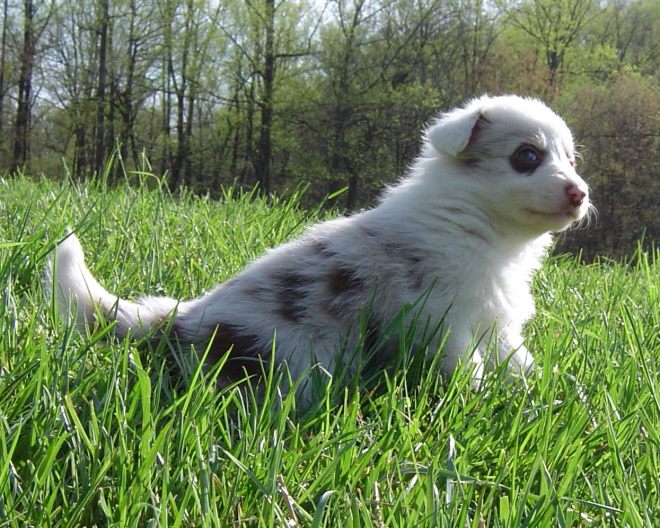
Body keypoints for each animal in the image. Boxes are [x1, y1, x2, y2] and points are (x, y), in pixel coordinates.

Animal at [51, 95, 591, 401]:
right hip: (289, 355)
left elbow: (518, 364)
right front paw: (479, 403)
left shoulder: (498, 323)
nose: (581, 193)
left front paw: (548, 397)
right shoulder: (444, 320)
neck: (483, 230)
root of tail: (181, 318)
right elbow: (468, 370)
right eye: (527, 157)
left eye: (570, 159)